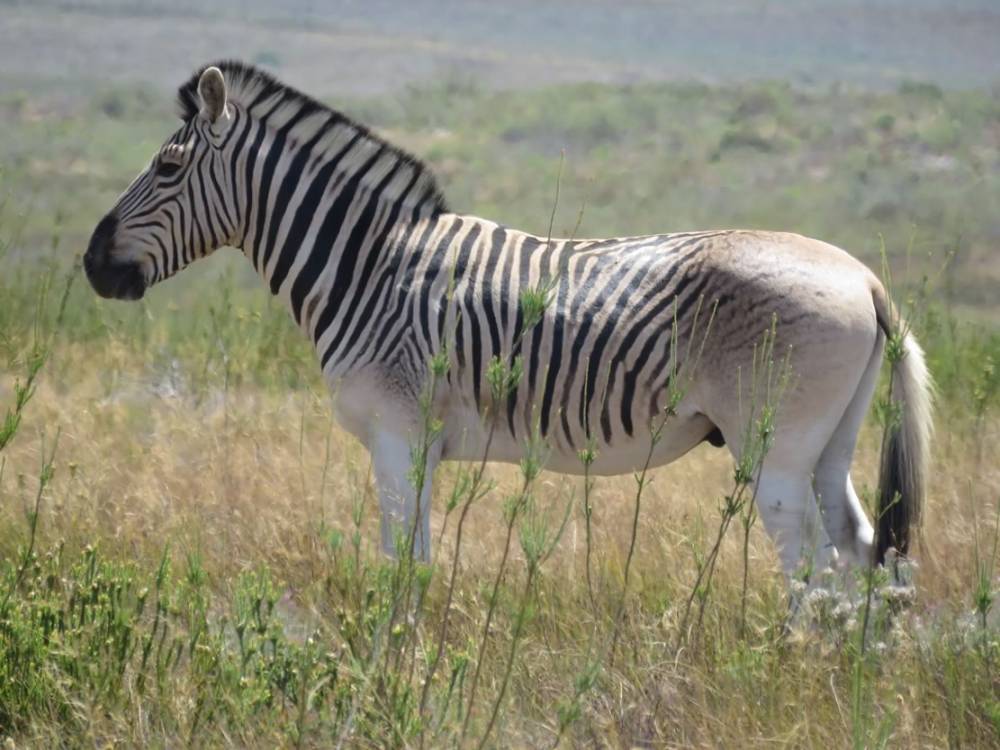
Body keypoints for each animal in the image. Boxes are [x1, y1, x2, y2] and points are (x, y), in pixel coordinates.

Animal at [82, 61, 932, 584]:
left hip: (776, 447)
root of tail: (863, 277)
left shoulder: (397, 433)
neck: (367, 269)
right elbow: (416, 562)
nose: (91, 264)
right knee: (862, 551)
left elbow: (402, 564)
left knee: (814, 566)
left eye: (166, 168)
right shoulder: (419, 442)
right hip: (829, 442)